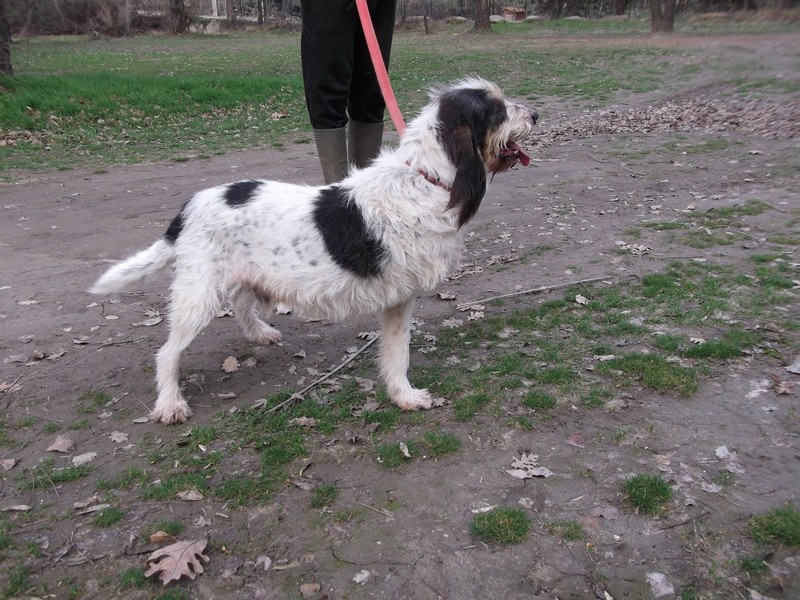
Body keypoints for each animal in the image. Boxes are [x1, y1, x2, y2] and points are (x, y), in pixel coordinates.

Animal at [90, 78, 536, 426]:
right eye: (496, 110)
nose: (534, 115)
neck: (425, 179)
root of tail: (191, 204)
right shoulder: (401, 297)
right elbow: (401, 352)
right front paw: (406, 395)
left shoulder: (399, 300)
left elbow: (395, 353)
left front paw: (402, 396)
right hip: (198, 294)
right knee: (168, 352)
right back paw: (170, 404)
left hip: (249, 274)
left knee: (241, 300)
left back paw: (260, 333)